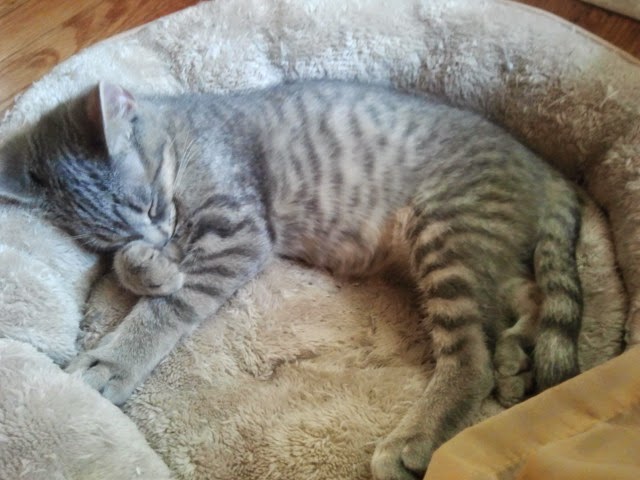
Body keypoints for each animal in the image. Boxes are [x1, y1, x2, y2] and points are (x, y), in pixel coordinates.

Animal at [0, 80, 582, 479]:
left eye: (150, 204)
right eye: (111, 233)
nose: (160, 235)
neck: (184, 134)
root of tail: (543, 167)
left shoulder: (237, 233)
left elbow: (173, 305)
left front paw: (114, 358)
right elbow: (138, 264)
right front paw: (146, 265)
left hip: (446, 232)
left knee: (471, 355)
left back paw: (417, 434)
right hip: (480, 249)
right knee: (525, 293)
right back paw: (515, 357)